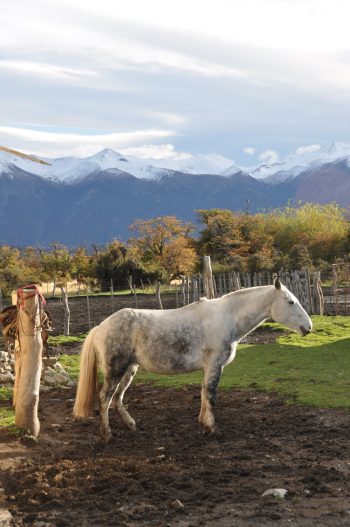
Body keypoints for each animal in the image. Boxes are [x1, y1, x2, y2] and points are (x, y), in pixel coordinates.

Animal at [74, 278, 312, 444]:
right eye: (291, 301)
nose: (308, 327)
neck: (227, 318)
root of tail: (100, 327)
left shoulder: (208, 368)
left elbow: (203, 394)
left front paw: (203, 424)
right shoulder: (215, 366)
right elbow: (211, 396)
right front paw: (212, 429)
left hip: (130, 369)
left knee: (117, 399)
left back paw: (131, 425)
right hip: (115, 370)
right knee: (105, 399)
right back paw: (107, 435)